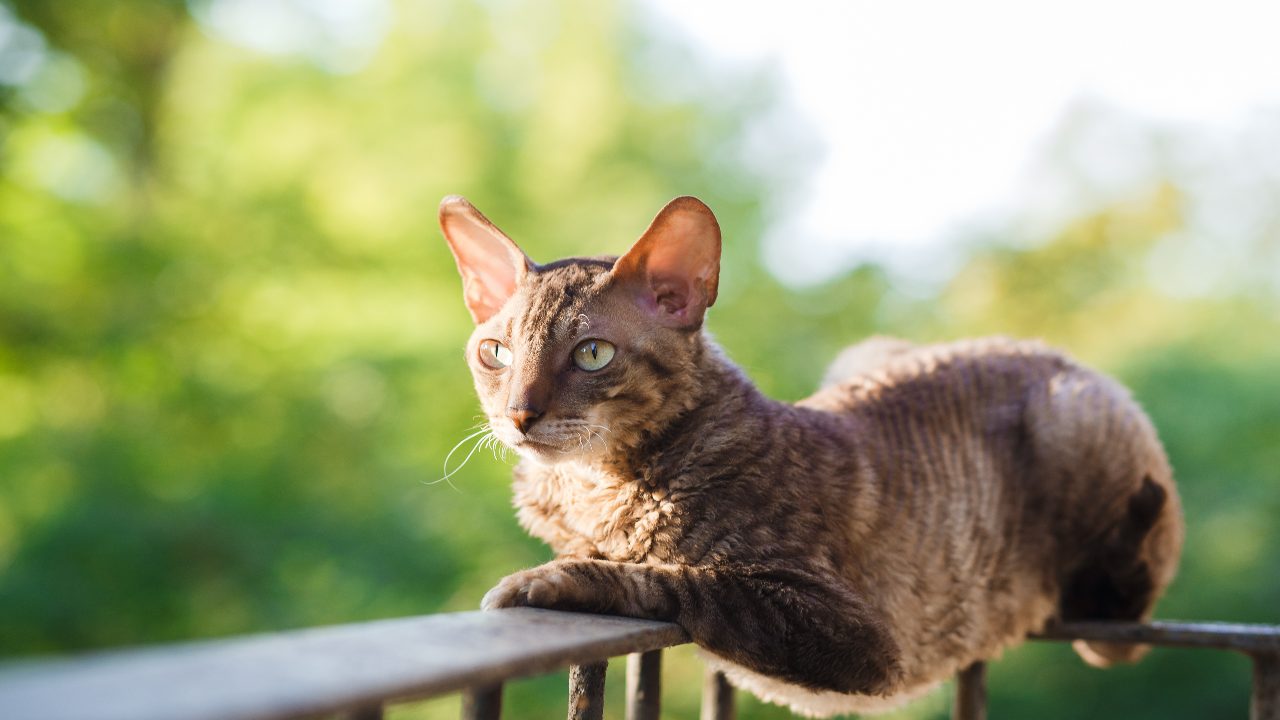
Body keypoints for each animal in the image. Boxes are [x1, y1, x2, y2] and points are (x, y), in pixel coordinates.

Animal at [437, 193, 1177, 712]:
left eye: (592, 354)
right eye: (495, 353)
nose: (518, 414)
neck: (593, 487)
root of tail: (1054, 353)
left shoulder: (861, 639)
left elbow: (678, 580)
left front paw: (550, 577)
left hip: (1074, 421)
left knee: (1122, 602)